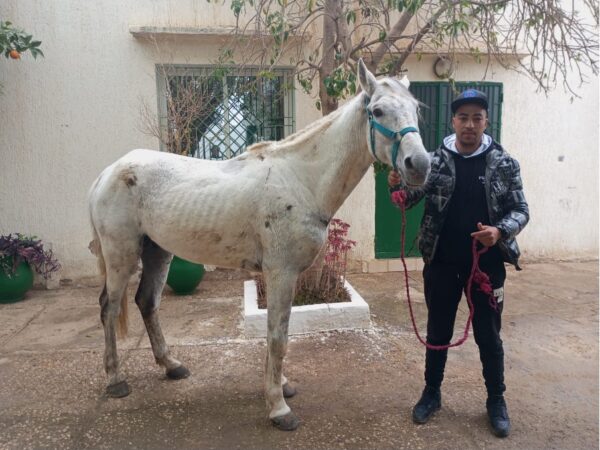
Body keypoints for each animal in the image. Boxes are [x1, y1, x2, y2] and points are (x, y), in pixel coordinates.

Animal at [86, 59, 428, 428]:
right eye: (377, 111)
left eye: (416, 110)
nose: (420, 165)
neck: (301, 181)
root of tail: (108, 173)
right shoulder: (281, 272)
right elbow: (278, 337)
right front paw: (278, 407)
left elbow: (279, 333)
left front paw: (281, 386)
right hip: (121, 255)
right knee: (109, 307)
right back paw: (115, 380)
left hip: (158, 251)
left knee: (146, 302)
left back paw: (171, 365)